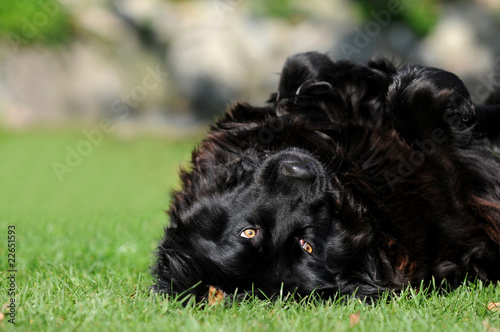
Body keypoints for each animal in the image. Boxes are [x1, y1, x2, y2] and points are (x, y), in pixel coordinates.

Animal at [152, 52, 500, 300]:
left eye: (248, 233)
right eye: (307, 245)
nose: (302, 176)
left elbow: (300, 67)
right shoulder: (457, 191)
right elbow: (420, 105)